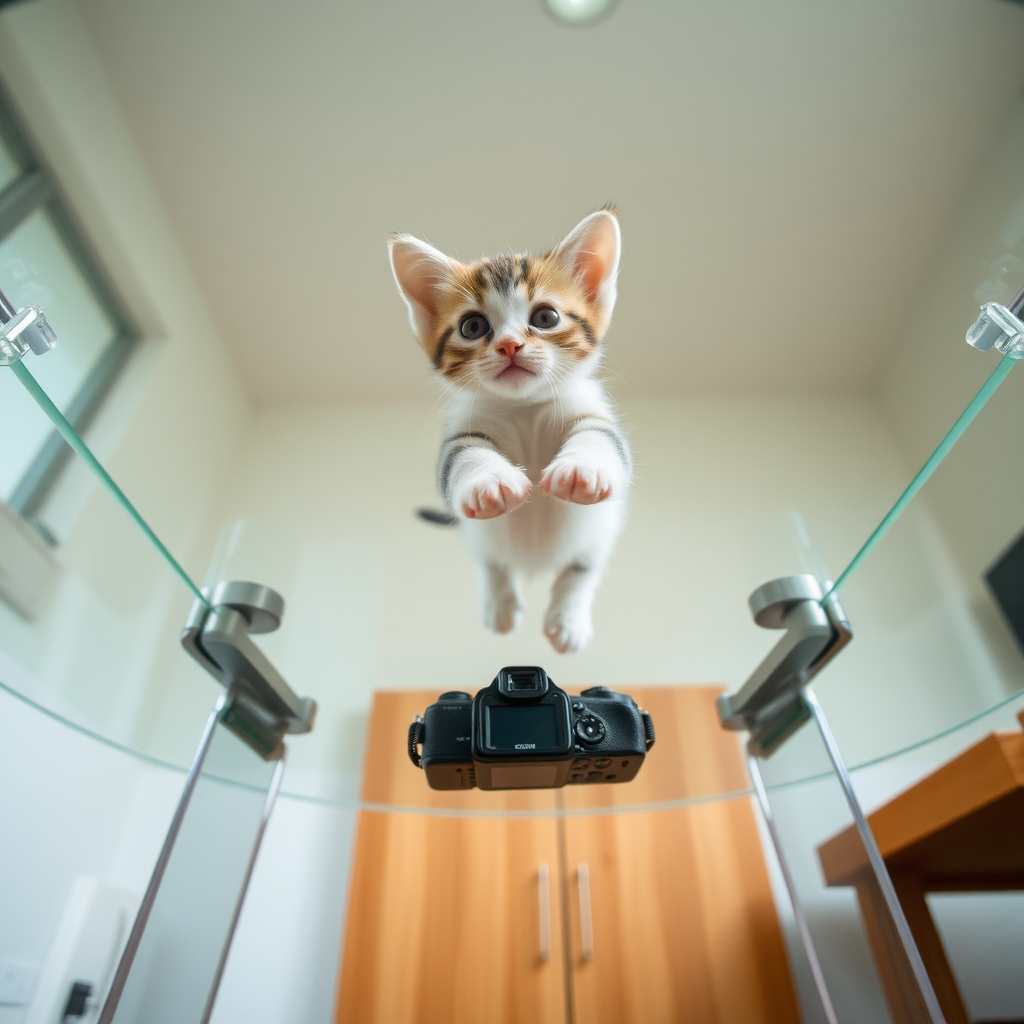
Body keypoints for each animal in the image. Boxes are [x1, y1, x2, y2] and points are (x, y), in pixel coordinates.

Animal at [389, 210, 626, 651]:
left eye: (545, 318)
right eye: (473, 327)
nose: (510, 345)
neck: (524, 408)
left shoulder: (594, 414)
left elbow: (600, 439)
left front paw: (582, 469)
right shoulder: (460, 433)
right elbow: (463, 457)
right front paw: (490, 481)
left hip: (601, 530)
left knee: (582, 567)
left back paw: (567, 617)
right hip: (481, 538)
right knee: (492, 561)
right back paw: (500, 603)